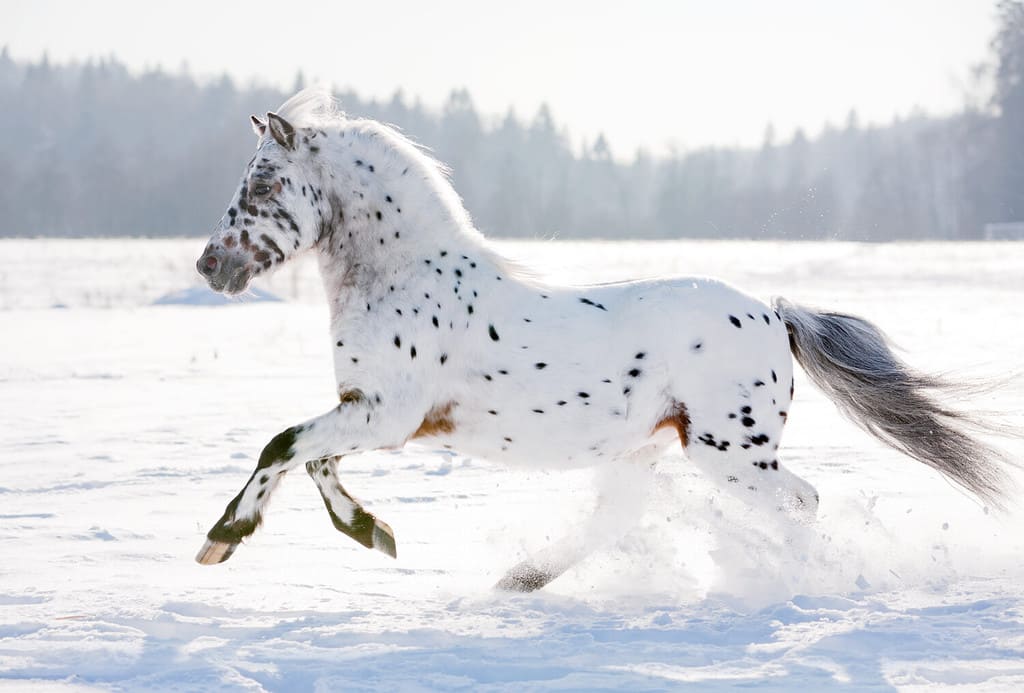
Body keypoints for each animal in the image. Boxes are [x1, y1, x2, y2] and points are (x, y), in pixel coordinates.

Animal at [194, 88, 1010, 591]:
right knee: (617, 521)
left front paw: (223, 536)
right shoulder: (368, 411)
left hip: (728, 452)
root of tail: (774, 315)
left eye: (263, 182)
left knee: (801, 503)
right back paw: (519, 581)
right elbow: (311, 460)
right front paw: (373, 532)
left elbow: (281, 446)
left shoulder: (387, 415)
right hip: (648, 449)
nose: (210, 265)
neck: (404, 276)